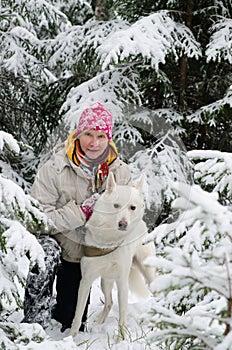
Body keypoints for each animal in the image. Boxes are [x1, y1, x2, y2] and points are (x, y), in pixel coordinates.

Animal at [70, 174, 155, 338]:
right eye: (116, 206)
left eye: (132, 207)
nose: (123, 224)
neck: (109, 241)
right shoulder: (86, 280)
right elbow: (77, 315)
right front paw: (70, 338)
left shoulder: (122, 283)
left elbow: (122, 318)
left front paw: (121, 340)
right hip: (105, 281)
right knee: (109, 302)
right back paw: (99, 322)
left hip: (147, 272)